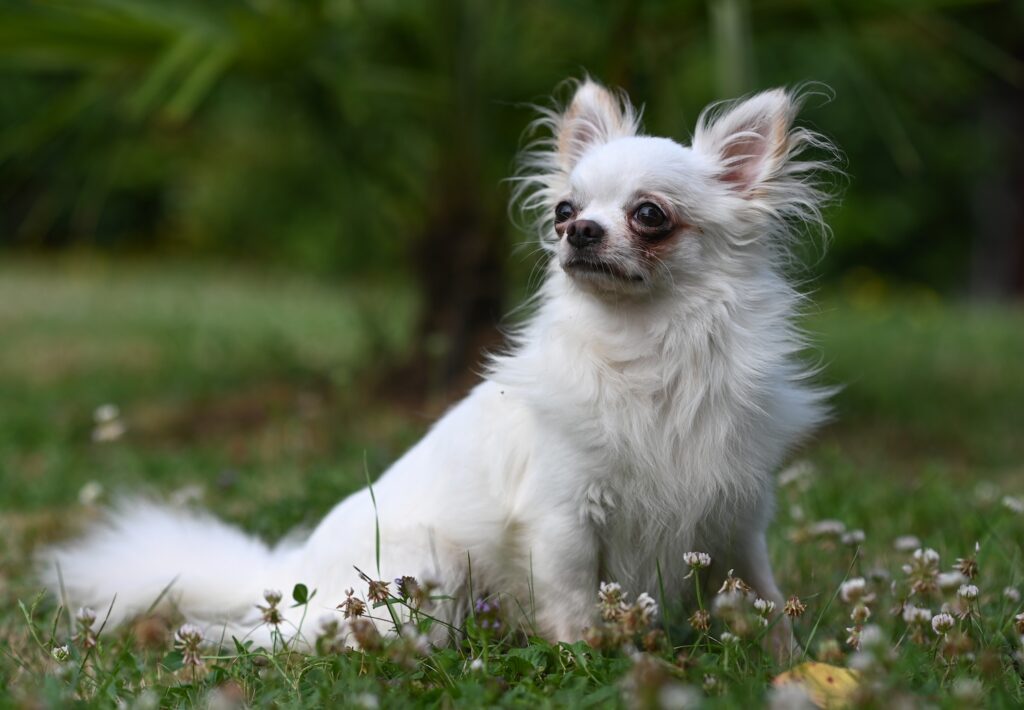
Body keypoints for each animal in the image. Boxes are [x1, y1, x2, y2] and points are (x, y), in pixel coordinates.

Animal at [44, 78, 835, 651]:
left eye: (649, 215)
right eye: (563, 209)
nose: (577, 231)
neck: (648, 348)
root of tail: (292, 575)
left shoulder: (736, 521)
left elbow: (764, 600)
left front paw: (788, 664)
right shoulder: (564, 518)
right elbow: (576, 604)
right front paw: (591, 660)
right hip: (431, 566)